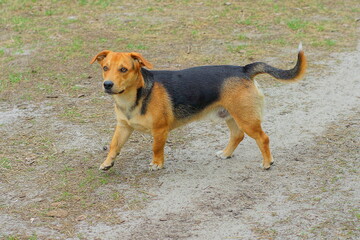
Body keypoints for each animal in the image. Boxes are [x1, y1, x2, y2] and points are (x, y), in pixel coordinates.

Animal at [90, 43, 306, 171]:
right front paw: (107, 163)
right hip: (231, 116)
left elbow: (156, 148)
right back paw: (226, 154)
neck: (136, 95)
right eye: (105, 68)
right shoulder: (123, 127)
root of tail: (243, 69)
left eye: (123, 69)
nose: (107, 84)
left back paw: (267, 163)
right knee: (237, 136)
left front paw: (157, 164)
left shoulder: (160, 130)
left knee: (263, 138)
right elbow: (114, 145)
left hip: (247, 119)